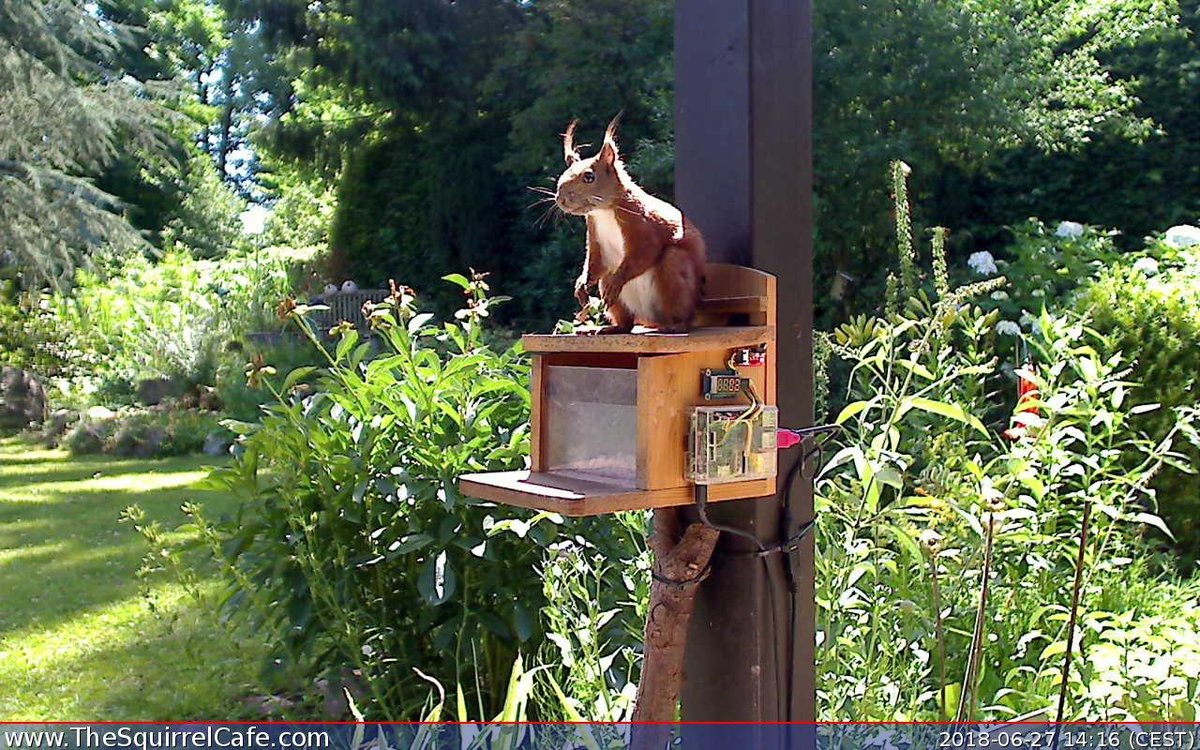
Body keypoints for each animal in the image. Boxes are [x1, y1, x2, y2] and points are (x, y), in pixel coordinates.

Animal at [556, 114, 705, 333]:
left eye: (589, 176)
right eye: (562, 176)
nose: (561, 199)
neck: (604, 211)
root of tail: (651, 320)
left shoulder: (641, 223)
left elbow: (644, 252)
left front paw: (617, 280)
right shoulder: (594, 234)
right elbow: (594, 261)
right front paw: (581, 285)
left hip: (676, 272)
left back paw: (676, 325)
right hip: (615, 289)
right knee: (626, 322)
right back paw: (610, 328)